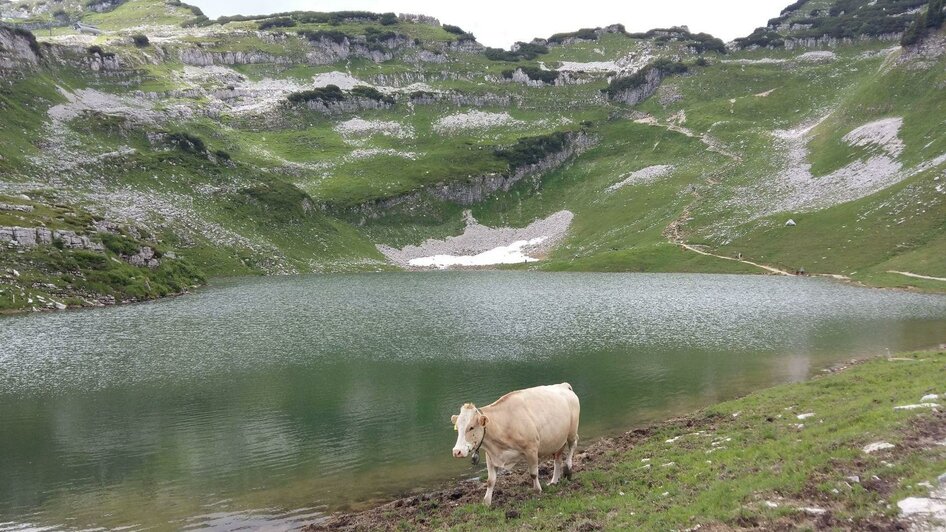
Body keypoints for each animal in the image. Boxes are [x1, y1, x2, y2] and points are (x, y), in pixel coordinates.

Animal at [448, 384, 576, 504]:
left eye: (471, 427)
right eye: (457, 428)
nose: (457, 451)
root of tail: (563, 385)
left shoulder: (531, 449)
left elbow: (533, 473)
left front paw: (537, 490)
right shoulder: (491, 455)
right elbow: (490, 481)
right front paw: (486, 502)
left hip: (571, 432)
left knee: (572, 446)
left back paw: (568, 468)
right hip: (558, 439)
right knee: (557, 459)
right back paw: (554, 481)